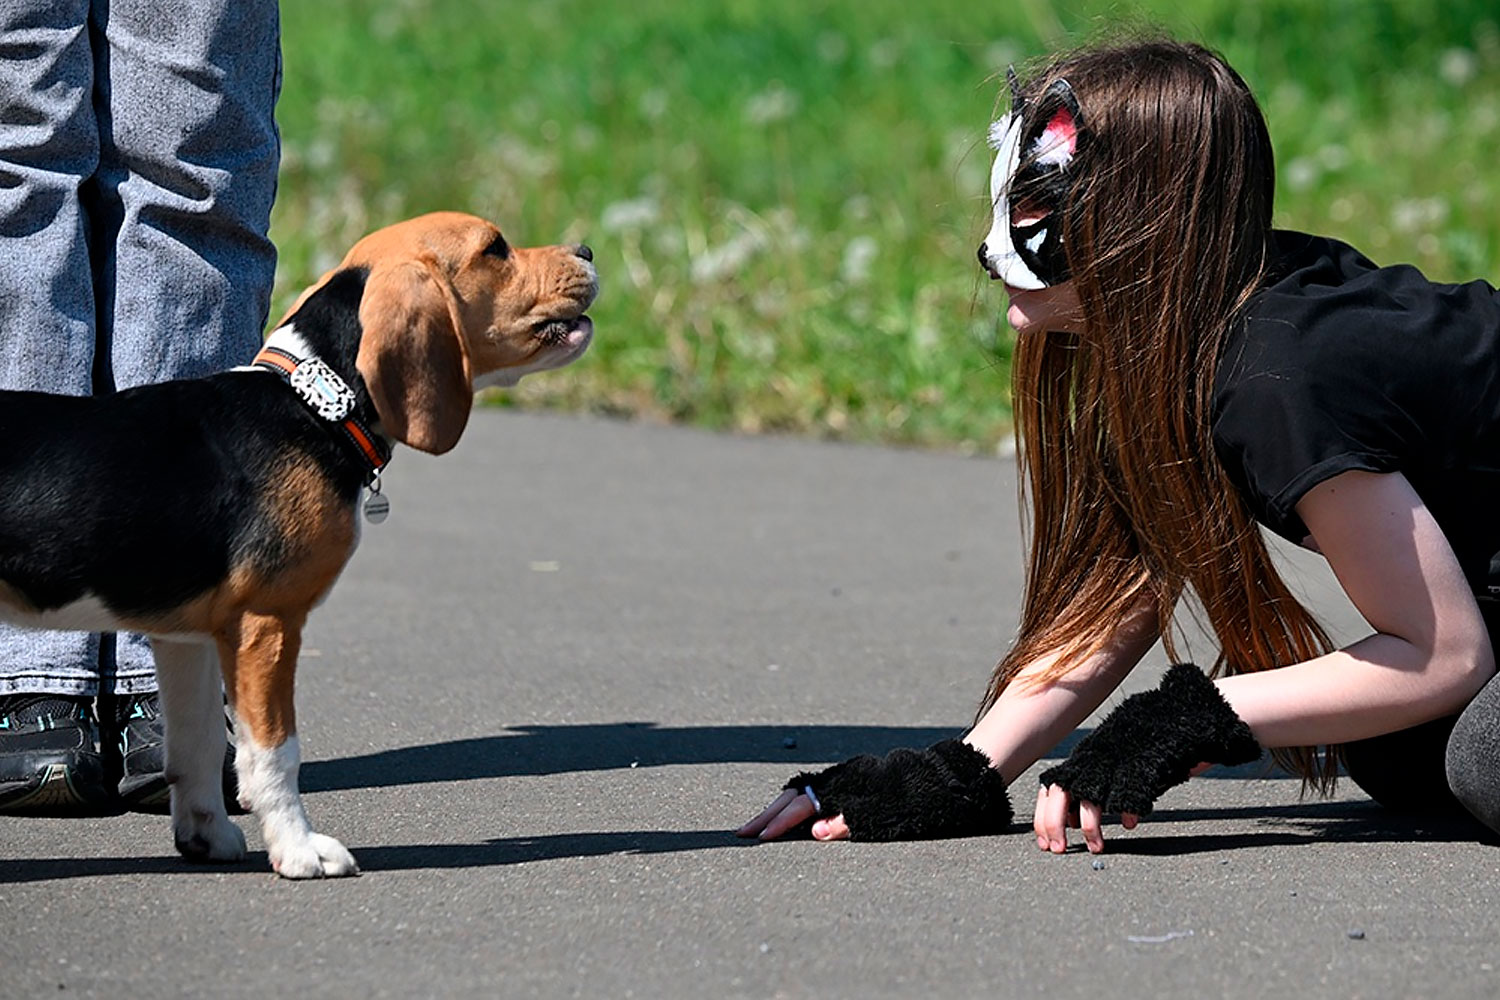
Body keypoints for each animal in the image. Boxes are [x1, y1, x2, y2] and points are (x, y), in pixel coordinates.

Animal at [0, 211, 597, 875]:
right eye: (495, 248)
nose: (587, 251)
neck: (314, 403)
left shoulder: (188, 638)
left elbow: (198, 745)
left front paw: (207, 836)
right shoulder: (267, 623)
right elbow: (275, 753)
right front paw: (299, 848)